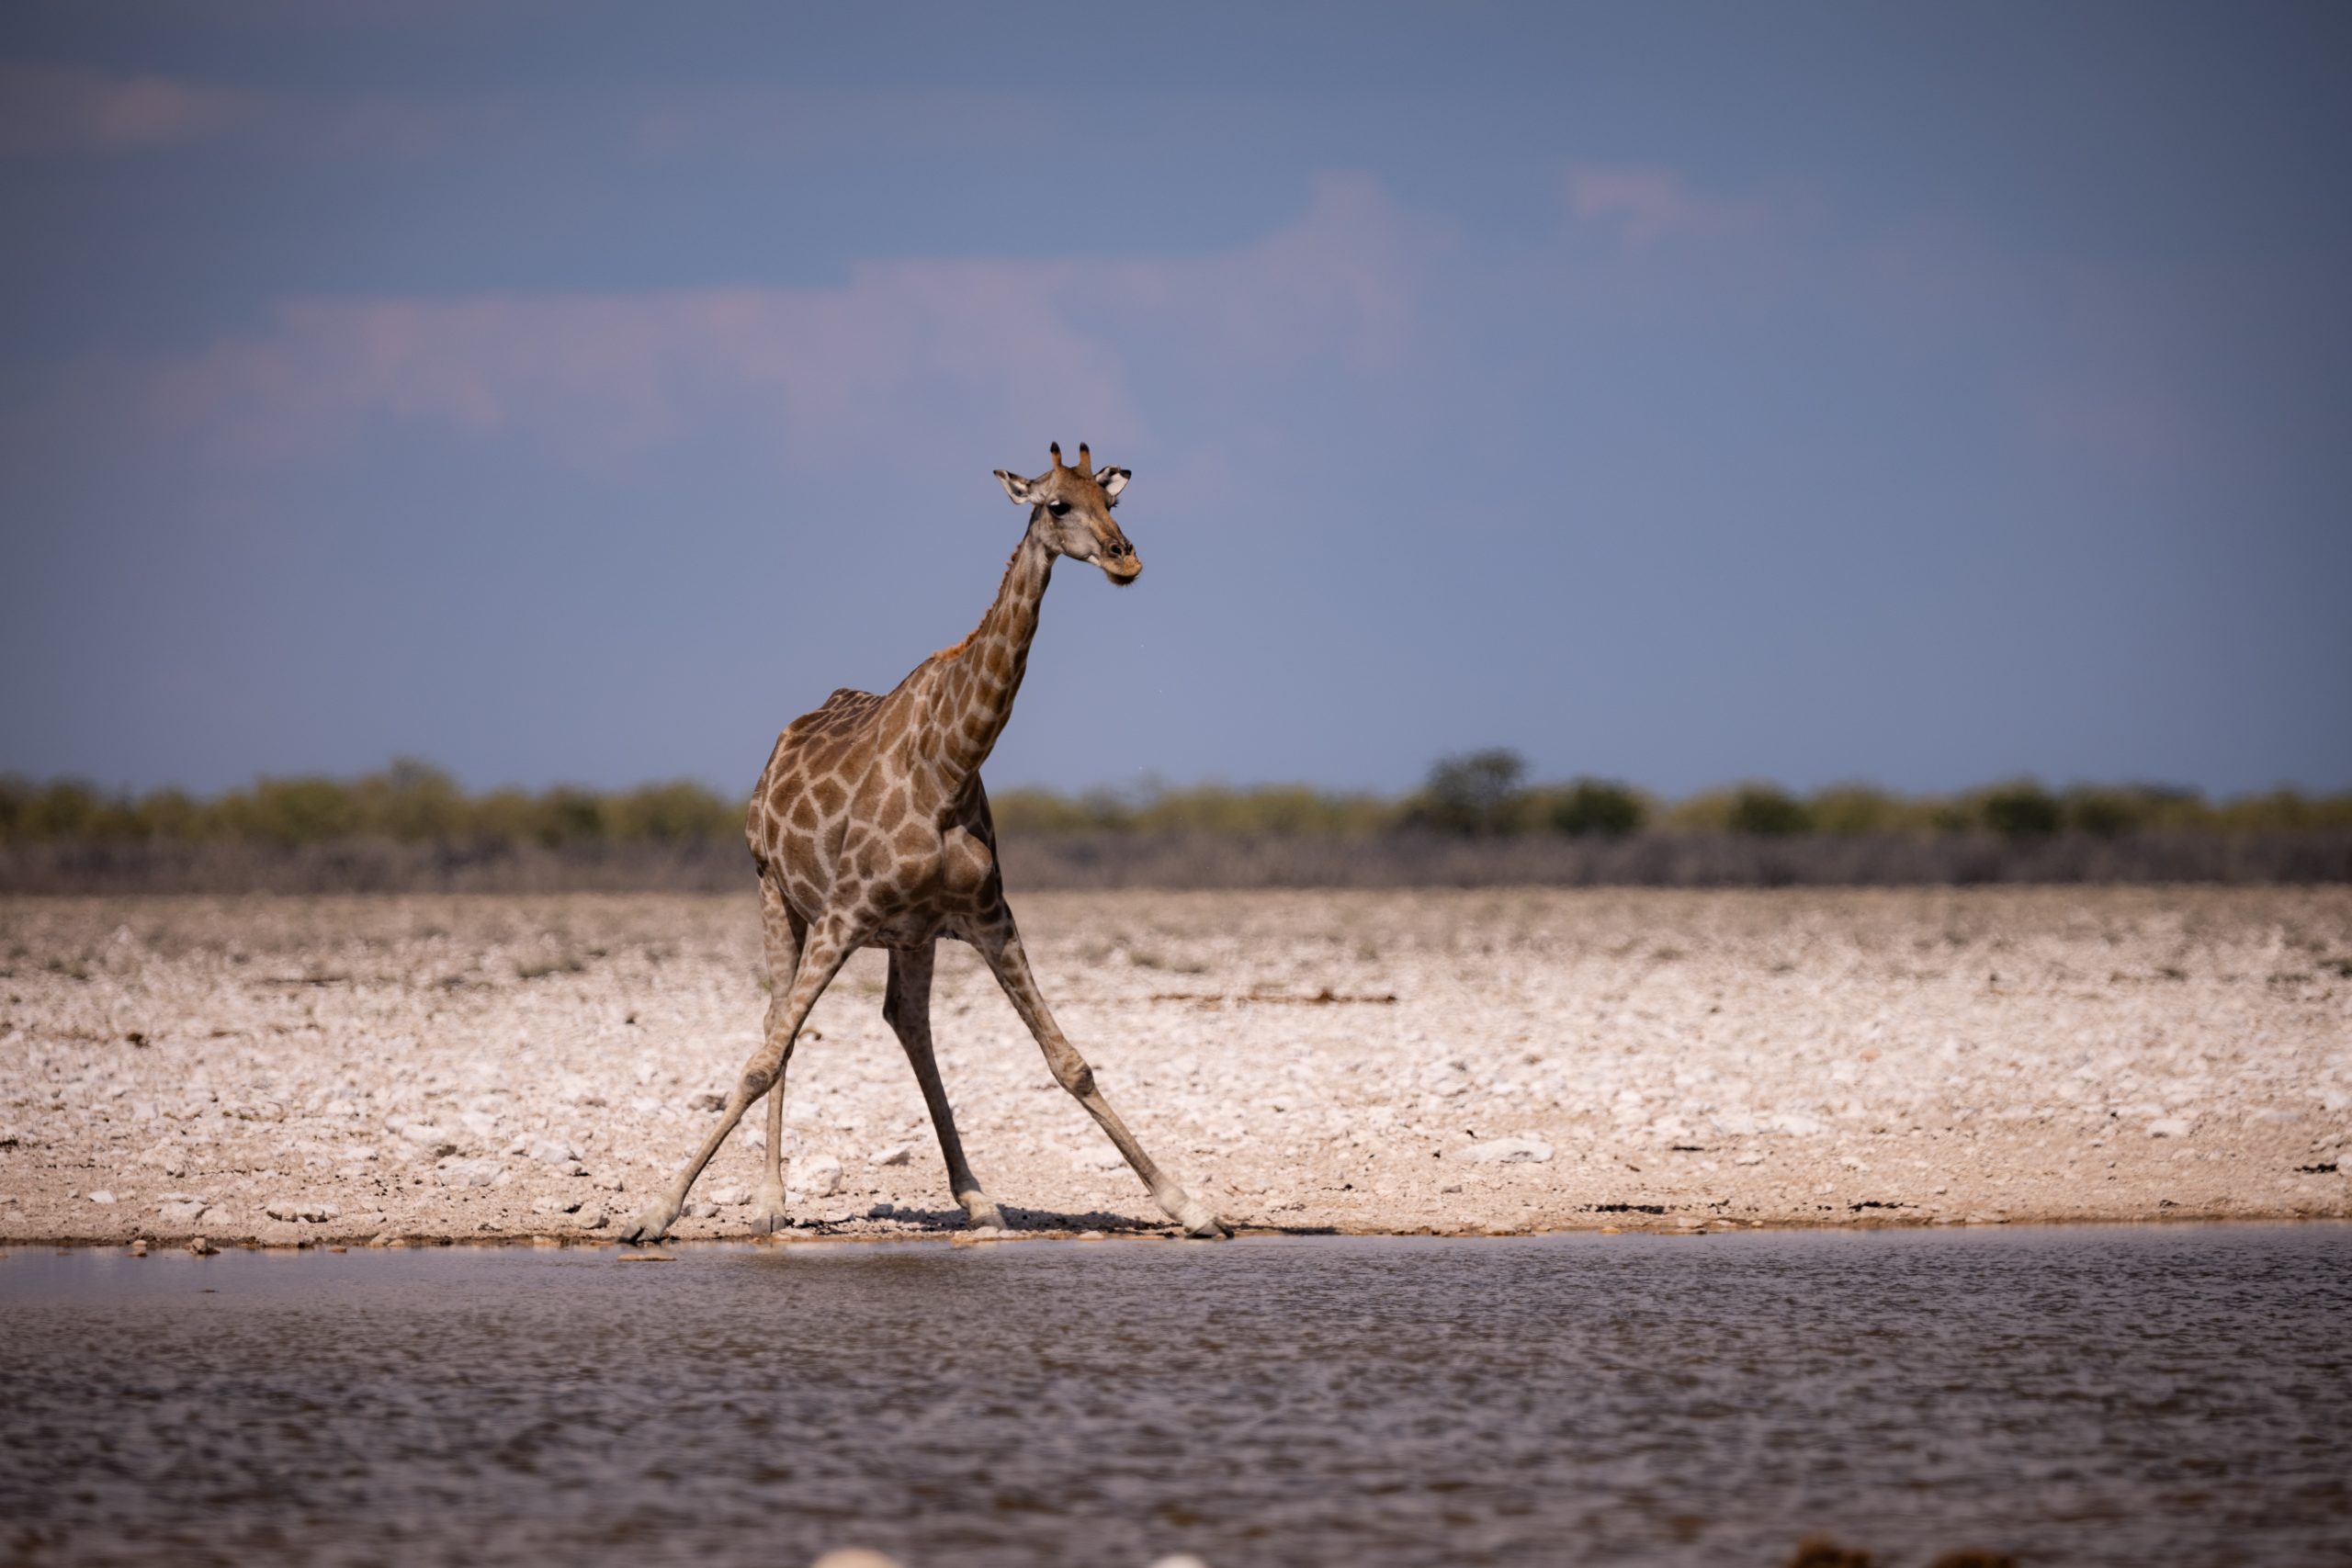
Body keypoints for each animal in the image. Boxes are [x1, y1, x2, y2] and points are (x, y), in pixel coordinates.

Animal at [619, 443, 1228, 1243]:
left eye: (1112, 501)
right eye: (1057, 504)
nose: (1125, 558)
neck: (952, 761)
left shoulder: (989, 915)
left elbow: (1068, 1061)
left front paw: (1188, 1204)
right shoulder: (843, 912)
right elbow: (761, 1061)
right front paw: (655, 1210)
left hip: (909, 935)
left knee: (905, 1022)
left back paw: (975, 1195)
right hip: (774, 890)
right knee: (777, 1025)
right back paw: (772, 1200)